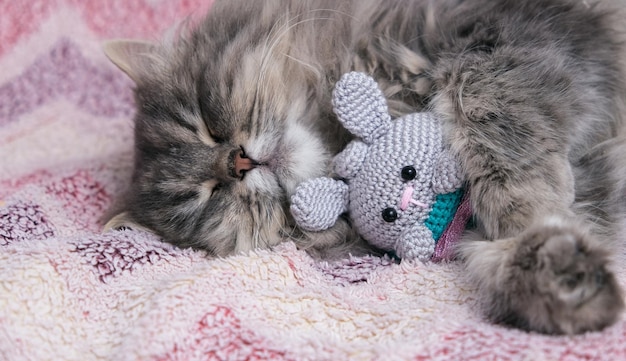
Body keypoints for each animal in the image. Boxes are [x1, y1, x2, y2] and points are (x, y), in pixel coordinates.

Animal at [103, 0, 624, 334]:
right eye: (210, 197)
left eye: (206, 125)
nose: (237, 163)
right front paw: (554, 272)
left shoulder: (507, 29)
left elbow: (485, 100)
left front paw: (525, 212)